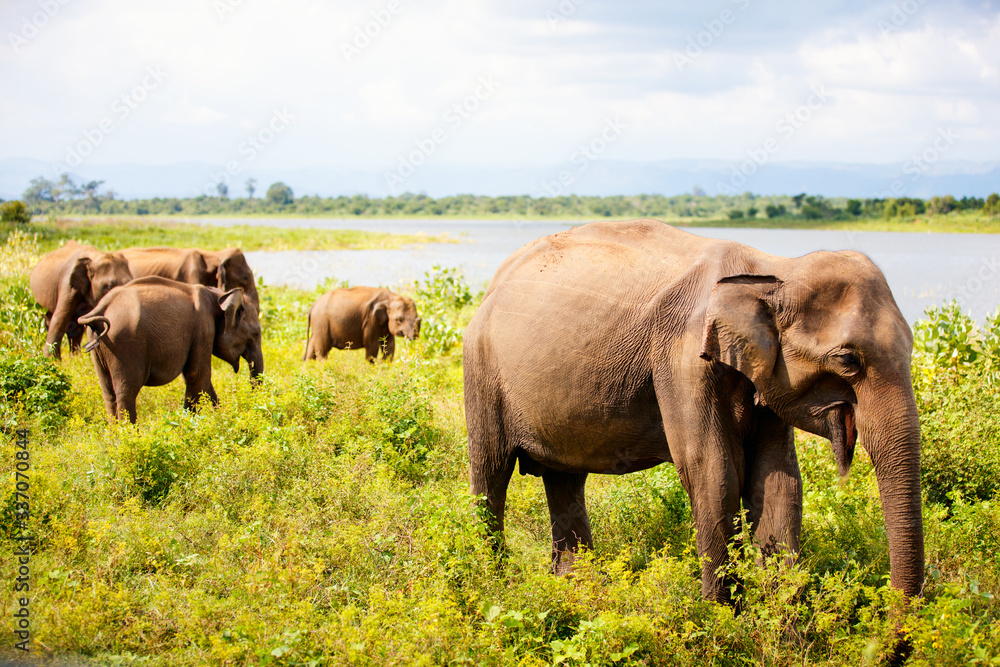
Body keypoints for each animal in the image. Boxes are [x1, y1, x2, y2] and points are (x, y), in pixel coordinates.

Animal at [79, 276, 263, 423]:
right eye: (255, 334)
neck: (217, 295)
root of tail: (102, 306)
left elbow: (199, 380)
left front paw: (220, 416)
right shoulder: (203, 328)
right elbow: (198, 376)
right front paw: (191, 424)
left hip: (99, 346)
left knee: (109, 394)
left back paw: (116, 436)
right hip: (125, 346)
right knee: (126, 393)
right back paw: (130, 435)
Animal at [464, 219, 923, 609]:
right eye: (848, 360)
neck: (771, 269)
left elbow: (778, 481)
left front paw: (783, 628)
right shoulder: (681, 359)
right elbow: (714, 471)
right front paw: (721, 620)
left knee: (565, 479)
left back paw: (576, 589)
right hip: (482, 369)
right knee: (491, 474)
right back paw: (491, 582)